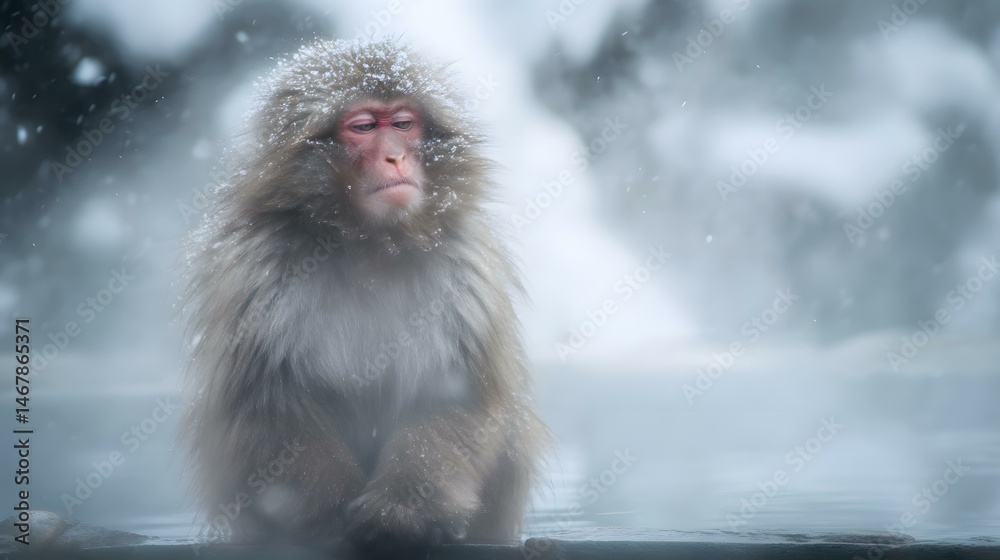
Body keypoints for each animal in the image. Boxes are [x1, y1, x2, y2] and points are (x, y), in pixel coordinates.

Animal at [179, 38, 546, 549]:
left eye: (404, 124)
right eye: (365, 127)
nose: (395, 157)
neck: (370, 244)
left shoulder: (464, 268)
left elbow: (455, 396)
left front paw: (397, 513)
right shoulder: (256, 271)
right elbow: (269, 402)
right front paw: (332, 518)